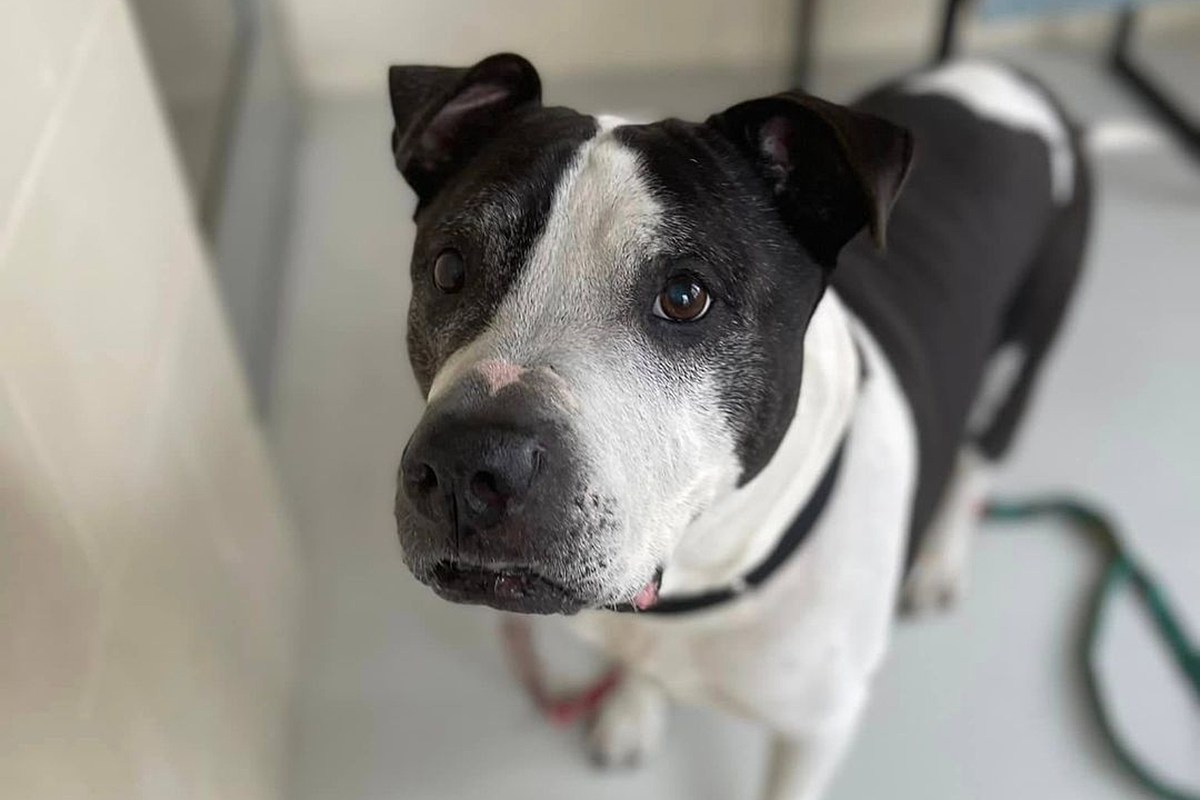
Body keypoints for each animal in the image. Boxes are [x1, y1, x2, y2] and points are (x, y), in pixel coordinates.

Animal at [386, 54, 1089, 800]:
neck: (702, 576)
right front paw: (634, 709)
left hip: (1021, 361)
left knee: (978, 466)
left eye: (685, 297)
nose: (466, 463)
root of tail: (1018, 79)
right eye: (450, 269)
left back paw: (940, 563)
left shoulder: (817, 729)